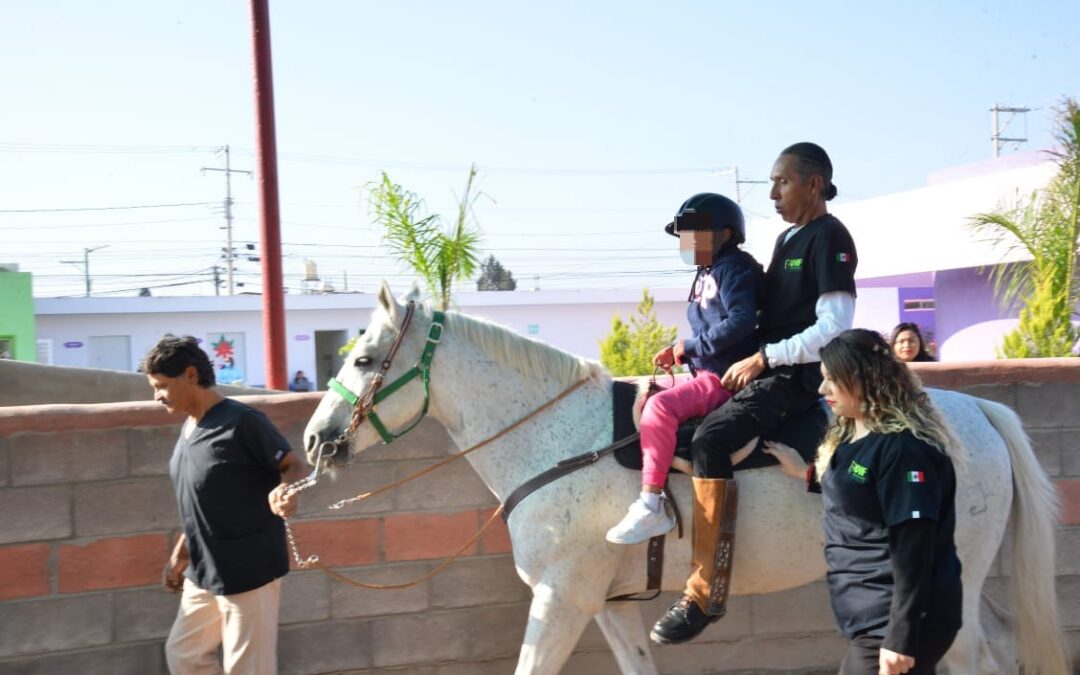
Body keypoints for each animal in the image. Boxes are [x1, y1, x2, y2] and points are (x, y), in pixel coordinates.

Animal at [304, 282, 1071, 673]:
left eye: (366, 359)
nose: (315, 438)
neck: (558, 440)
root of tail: (976, 411)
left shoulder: (561, 597)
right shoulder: (606, 602)